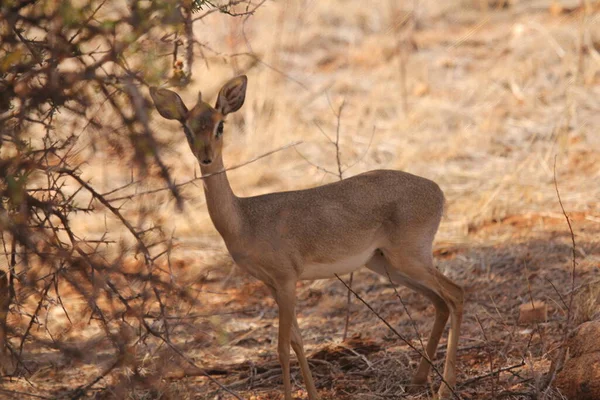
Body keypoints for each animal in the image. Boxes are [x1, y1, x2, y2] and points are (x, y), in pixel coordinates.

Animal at [150, 76, 464, 400]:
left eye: (220, 125)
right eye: (186, 128)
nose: (206, 157)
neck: (245, 220)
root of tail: (437, 190)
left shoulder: (287, 280)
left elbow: (281, 347)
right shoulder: (272, 284)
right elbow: (297, 342)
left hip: (410, 258)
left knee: (456, 295)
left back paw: (445, 387)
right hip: (386, 264)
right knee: (440, 303)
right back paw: (418, 380)